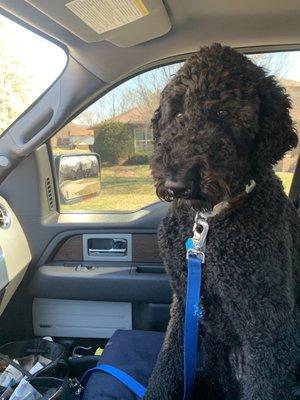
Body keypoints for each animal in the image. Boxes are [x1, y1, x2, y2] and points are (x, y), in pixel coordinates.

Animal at [144, 43, 298, 400]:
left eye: (224, 113)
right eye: (179, 113)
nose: (177, 183)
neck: (210, 221)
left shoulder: (268, 322)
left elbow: (266, 381)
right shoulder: (184, 300)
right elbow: (167, 361)